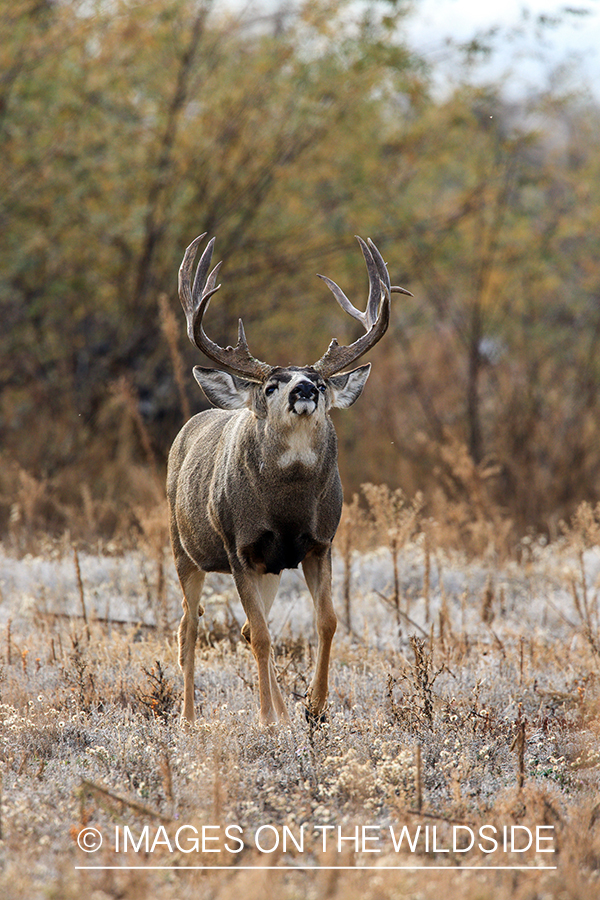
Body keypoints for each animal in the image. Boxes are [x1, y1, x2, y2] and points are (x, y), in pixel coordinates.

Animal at [168, 230, 412, 724]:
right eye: (270, 385)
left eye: (320, 382)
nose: (303, 389)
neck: (286, 510)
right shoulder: (239, 547)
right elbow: (262, 635)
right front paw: (266, 720)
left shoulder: (319, 543)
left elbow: (328, 621)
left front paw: (313, 709)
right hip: (183, 546)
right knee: (189, 626)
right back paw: (188, 718)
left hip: (273, 568)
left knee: (242, 628)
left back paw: (282, 710)